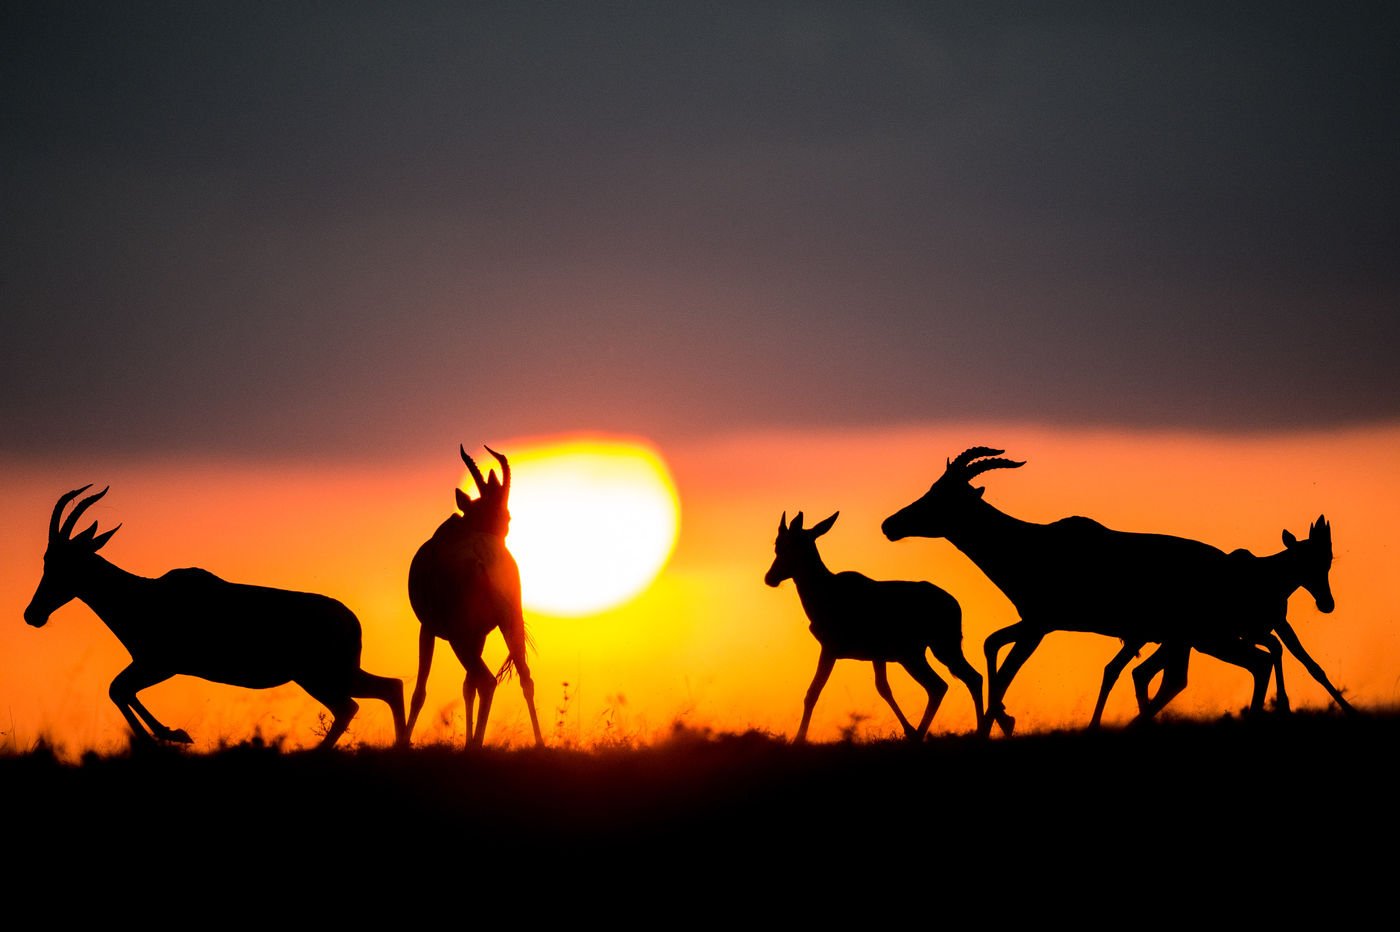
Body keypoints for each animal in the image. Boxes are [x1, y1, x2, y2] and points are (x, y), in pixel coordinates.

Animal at [24, 481, 408, 744]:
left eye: (65, 562)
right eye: (46, 559)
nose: (33, 615)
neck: (143, 595)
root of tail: (352, 620)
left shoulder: (161, 665)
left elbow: (117, 689)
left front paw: (171, 736)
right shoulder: (153, 666)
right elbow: (119, 689)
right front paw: (174, 735)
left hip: (319, 675)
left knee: (350, 706)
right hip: (332, 674)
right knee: (389, 687)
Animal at [408, 442, 543, 750]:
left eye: (506, 517)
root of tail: (482, 555)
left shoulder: (428, 628)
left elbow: (421, 690)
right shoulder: (479, 634)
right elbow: (467, 687)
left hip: (459, 636)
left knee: (488, 681)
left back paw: (476, 747)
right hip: (509, 623)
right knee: (524, 678)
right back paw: (540, 744)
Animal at [767, 509, 985, 738]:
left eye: (788, 545)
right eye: (777, 544)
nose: (770, 577)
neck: (821, 597)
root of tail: (956, 606)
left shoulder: (830, 647)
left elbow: (812, 692)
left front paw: (798, 738)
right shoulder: (876, 654)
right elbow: (883, 688)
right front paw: (907, 729)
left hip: (928, 649)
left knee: (947, 683)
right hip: (930, 650)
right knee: (961, 680)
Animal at [879, 447, 1282, 738]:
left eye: (941, 496)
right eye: (932, 488)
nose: (889, 525)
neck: (1030, 544)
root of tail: (1233, 566)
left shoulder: (1039, 626)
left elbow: (1006, 668)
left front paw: (995, 726)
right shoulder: (1036, 621)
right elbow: (991, 644)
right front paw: (1005, 720)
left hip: (1205, 637)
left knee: (1250, 663)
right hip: (1196, 639)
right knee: (1236, 666)